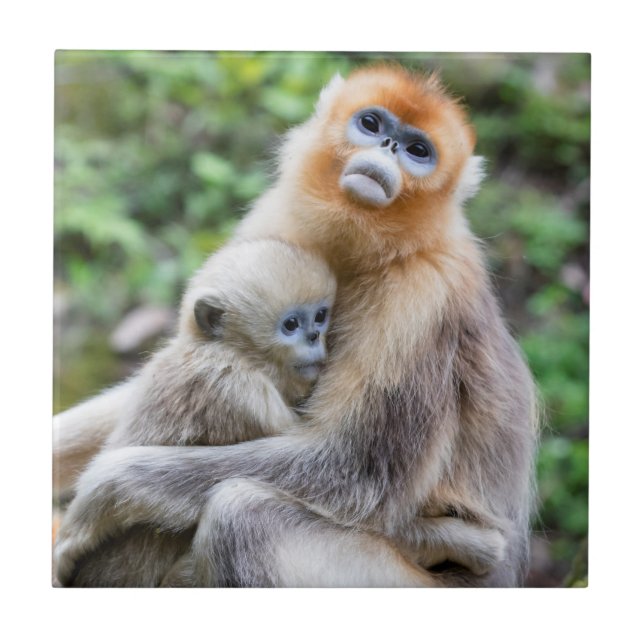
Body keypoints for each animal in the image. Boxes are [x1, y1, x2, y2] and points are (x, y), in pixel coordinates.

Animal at [54, 64, 537, 588]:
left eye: (418, 151)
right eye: (372, 124)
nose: (389, 147)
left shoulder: (424, 295)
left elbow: (355, 473)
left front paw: (102, 493)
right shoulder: (279, 215)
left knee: (241, 516)